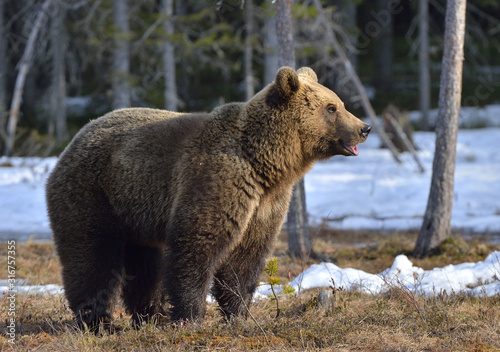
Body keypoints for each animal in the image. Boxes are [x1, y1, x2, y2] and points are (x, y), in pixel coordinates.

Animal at [45, 66, 370, 330]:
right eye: (331, 107)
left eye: (339, 103)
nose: (364, 128)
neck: (265, 164)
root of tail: (76, 137)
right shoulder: (217, 179)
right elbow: (197, 246)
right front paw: (191, 317)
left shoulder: (265, 204)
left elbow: (245, 259)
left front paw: (238, 315)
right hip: (94, 194)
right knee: (91, 256)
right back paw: (98, 322)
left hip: (138, 213)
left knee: (145, 266)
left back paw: (151, 316)